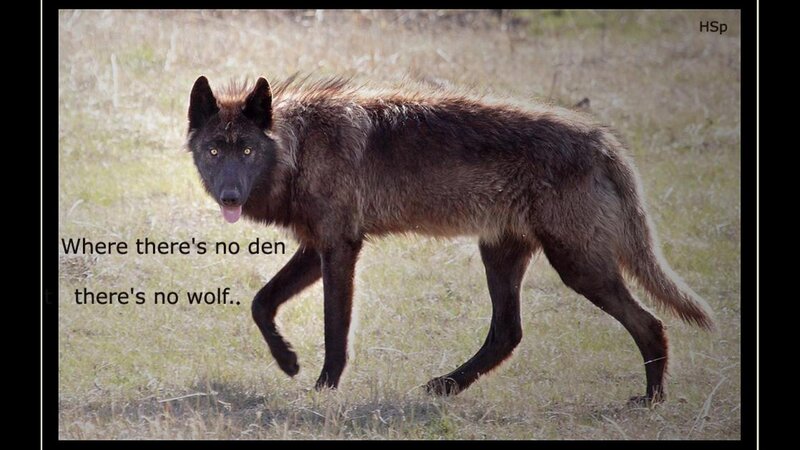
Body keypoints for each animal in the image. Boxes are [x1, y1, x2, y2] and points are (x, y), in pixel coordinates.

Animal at [186, 75, 714, 403]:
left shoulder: (339, 248)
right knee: (507, 333)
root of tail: (603, 141)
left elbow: (335, 330)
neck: (299, 146)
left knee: (650, 324)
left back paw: (651, 400)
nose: (230, 195)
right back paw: (445, 386)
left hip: (579, 268)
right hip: (504, 257)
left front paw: (323, 389)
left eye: (247, 151)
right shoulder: (318, 247)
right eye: (214, 151)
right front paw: (289, 361)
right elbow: (261, 302)